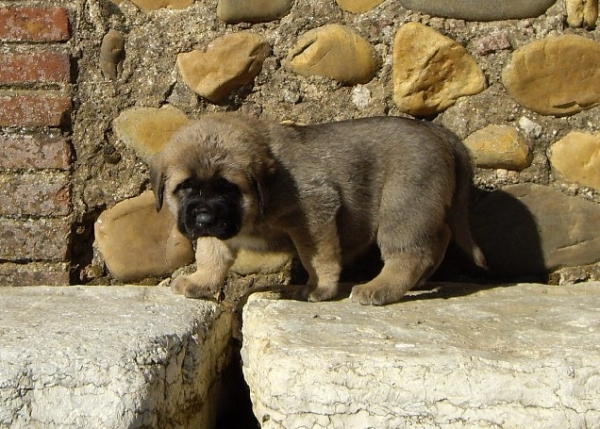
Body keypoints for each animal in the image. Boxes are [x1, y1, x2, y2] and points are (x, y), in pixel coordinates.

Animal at [151, 112, 488, 302]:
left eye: (228, 188)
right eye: (185, 188)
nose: (204, 218)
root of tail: (440, 133)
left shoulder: (315, 213)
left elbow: (318, 258)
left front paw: (319, 288)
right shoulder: (217, 231)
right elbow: (212, 254)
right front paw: (201, 281)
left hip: (402, 207)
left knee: (410, 254)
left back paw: (380, 288)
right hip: (421, 210)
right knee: (439, 237)